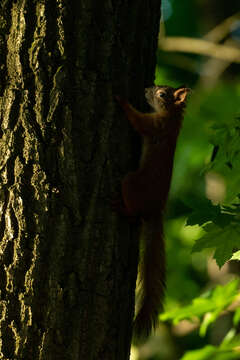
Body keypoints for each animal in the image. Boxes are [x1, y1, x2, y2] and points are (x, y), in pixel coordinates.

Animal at [114, 86, 191, 342]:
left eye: (163, 93)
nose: (148, 89)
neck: (172, 118)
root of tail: (156, 211)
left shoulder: (154, 125)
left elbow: (137, 120)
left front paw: (122, 101)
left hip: (130, 183)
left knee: (134, 214)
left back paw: (122, 209)